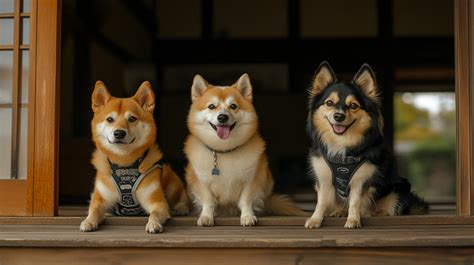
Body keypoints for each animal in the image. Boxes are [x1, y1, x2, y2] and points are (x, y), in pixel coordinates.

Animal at [79, 81, 189, 233]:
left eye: (132, 119)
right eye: (109, 119)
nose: (119, 133)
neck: (124, 162)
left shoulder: (158, 202)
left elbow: (155, 213)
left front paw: (153, 223)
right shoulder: (100, 198)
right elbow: (94, 209)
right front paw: (89, 221)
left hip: (172, 182)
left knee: (181, 198)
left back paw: (181, 208)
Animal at [185, 73, 304, 226]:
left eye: (233, 106)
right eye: (211, 106)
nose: (222, 117)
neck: (225, 150)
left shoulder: (251, 180)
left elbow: (245, 201)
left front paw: (247, 216)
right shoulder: (202, 183)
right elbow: (209, 202)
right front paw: (206, 216)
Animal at [306, 62, 428, 229]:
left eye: (353, 105)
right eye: (329, 103)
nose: (338, 116)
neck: (342, 144)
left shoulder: (361, 179)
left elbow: (355, 201)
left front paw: (353, 220)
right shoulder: (324, 176)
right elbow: (322, 201)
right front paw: (315, 219)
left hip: (400, 186)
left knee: (390, 207)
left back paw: (379, 212)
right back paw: (341, 211)